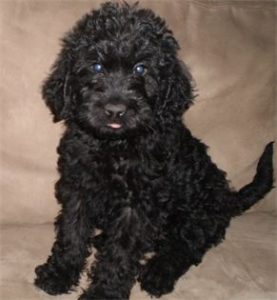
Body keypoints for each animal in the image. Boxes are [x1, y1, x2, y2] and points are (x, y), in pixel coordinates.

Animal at [34, 2, 272, 300]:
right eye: (96, 66)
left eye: (141, 69)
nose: (115, 110)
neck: (115, 145)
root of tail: (227, 198)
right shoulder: (78, 188)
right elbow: (72, 232)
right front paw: (60, 272)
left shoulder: (139, 204)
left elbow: (122, 251)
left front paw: (105, 292)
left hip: (198, 215)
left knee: (185, 246)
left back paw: (158, 273)